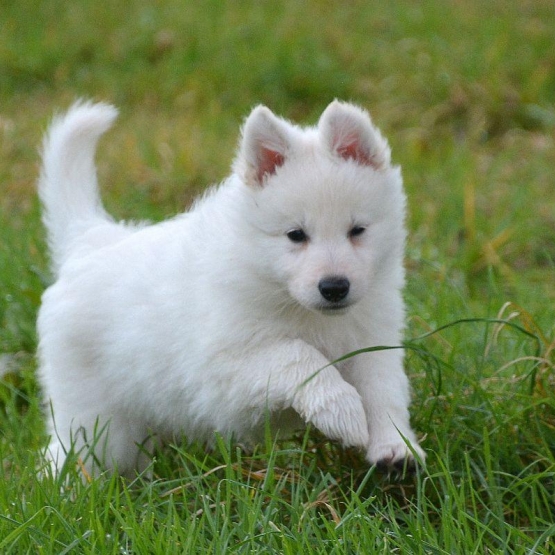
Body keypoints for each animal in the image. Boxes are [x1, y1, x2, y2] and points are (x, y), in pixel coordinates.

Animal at [38, 101, 426, 478]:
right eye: (296, 235)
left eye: (357, 230)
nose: (334, 287)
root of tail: (88, 239)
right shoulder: (228, 366)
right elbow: (300, 357)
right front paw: (342, 411)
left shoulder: (373, 341)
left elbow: (383, 392)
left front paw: (396, 447)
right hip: (93, 418)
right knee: (66, 454)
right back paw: (65, 490)